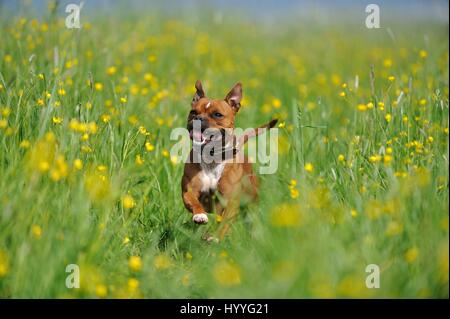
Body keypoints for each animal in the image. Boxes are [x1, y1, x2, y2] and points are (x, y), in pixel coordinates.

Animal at [181, 80, 276, 240]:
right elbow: (193, 201)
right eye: (193, 112)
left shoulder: (230, 201)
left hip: (251, 203)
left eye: (217, 115)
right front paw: (200, 215)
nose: (198, 119)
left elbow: (225, 222)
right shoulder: (189, 190)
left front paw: (216, 237)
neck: (212, 157)